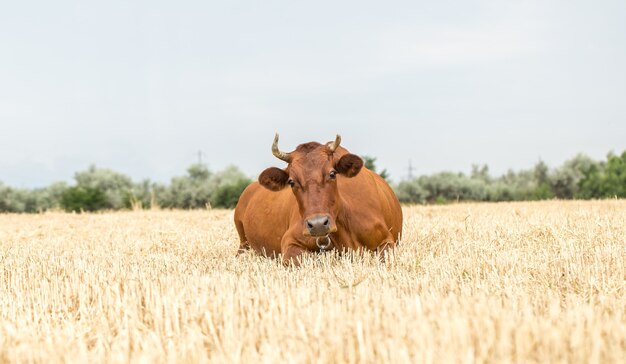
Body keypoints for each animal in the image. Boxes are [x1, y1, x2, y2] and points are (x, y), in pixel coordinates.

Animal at [233, 134, 400, 264]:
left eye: (332, 173)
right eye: (291, 181)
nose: (318, 224)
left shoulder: (387, 240)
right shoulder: (289, 242)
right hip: (243, 241)